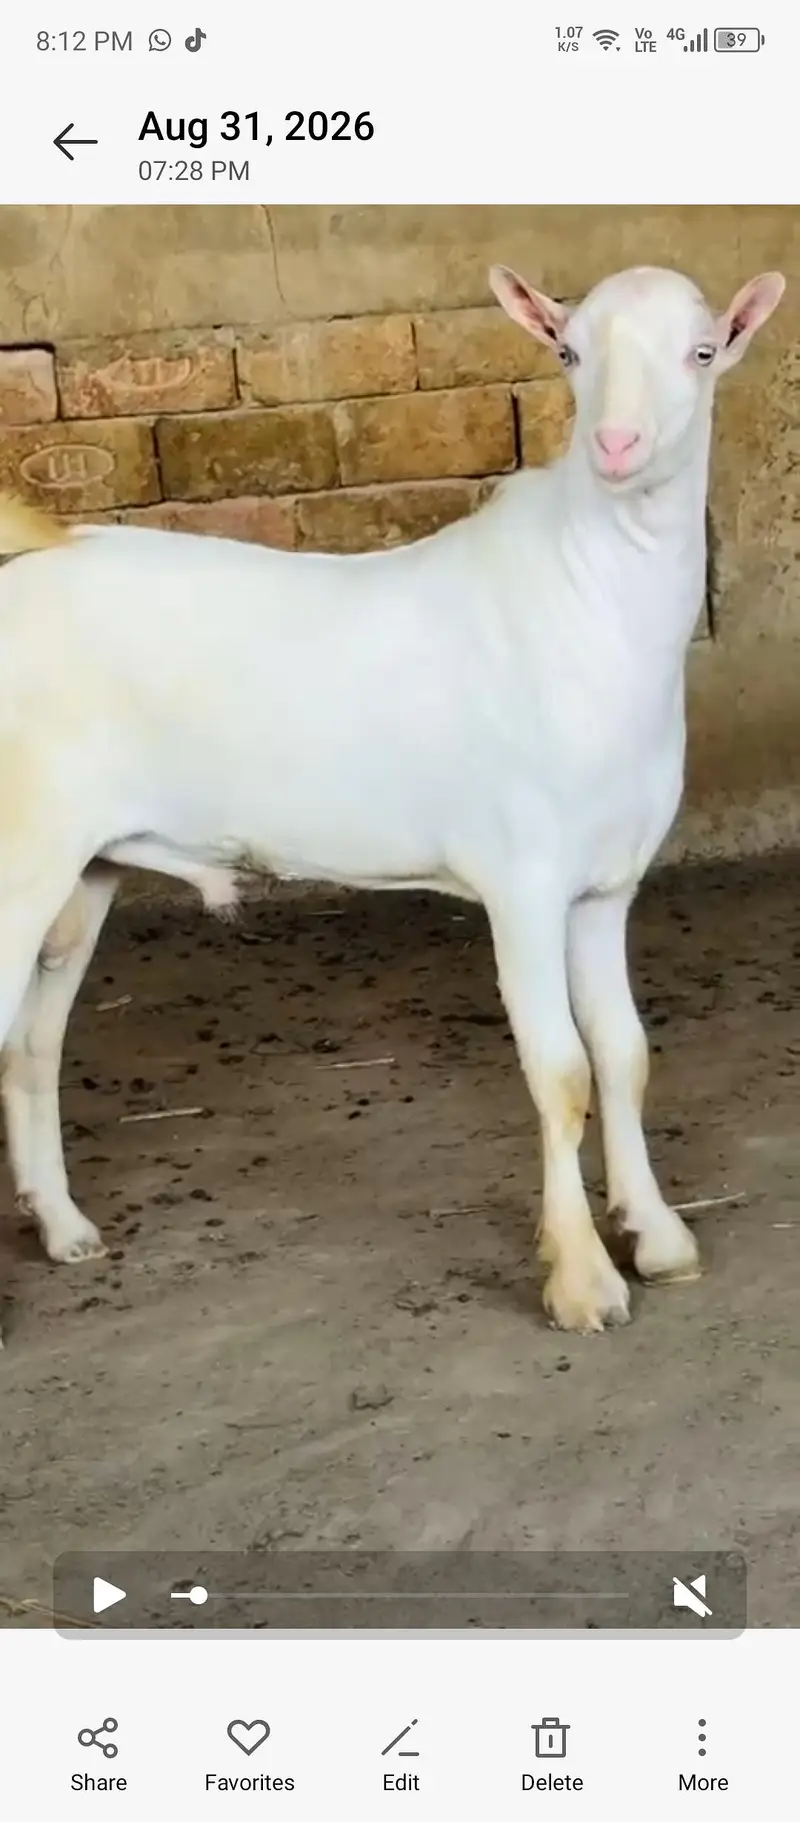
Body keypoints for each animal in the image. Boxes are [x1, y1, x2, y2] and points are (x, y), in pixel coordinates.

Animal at [0, 262, 784, 1341]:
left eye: (702, 351)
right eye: (567, 351)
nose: (617, 446)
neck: (589, 597)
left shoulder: (604, 886)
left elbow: (623, 1054)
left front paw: (656, 1235)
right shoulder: (522, 878)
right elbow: (561, 1072)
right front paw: (582, 1280)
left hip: (83, 866)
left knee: (31, 1042)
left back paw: (65, 1227)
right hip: (18, 843)